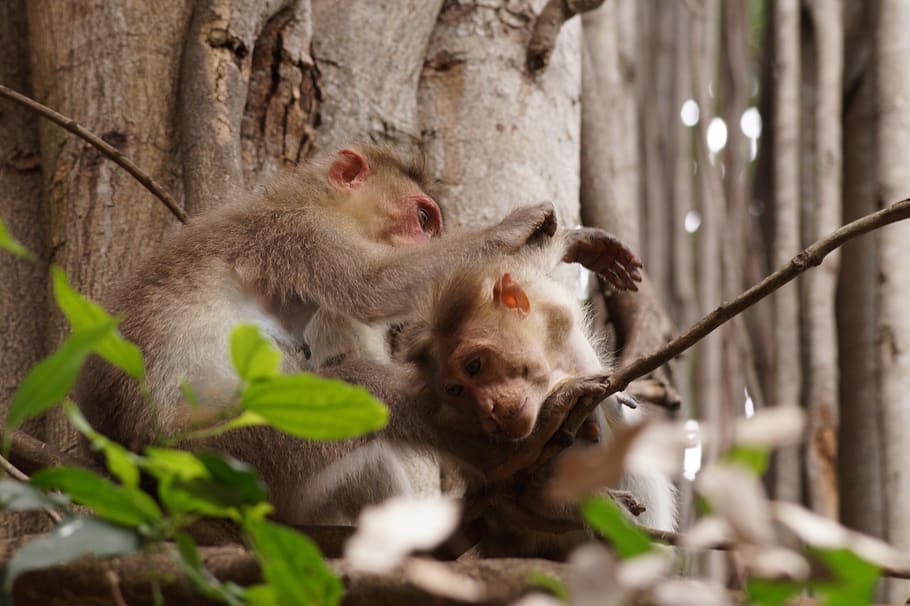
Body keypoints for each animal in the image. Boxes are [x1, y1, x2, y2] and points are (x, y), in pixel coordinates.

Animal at [73, 145, 560, 523]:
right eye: (423, 217)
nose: (428, 242)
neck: (318, 200)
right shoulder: (301, 232)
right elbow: (370, 288)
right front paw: (516, 232)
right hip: (218, 459)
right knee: (353, 390)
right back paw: (495, 455)